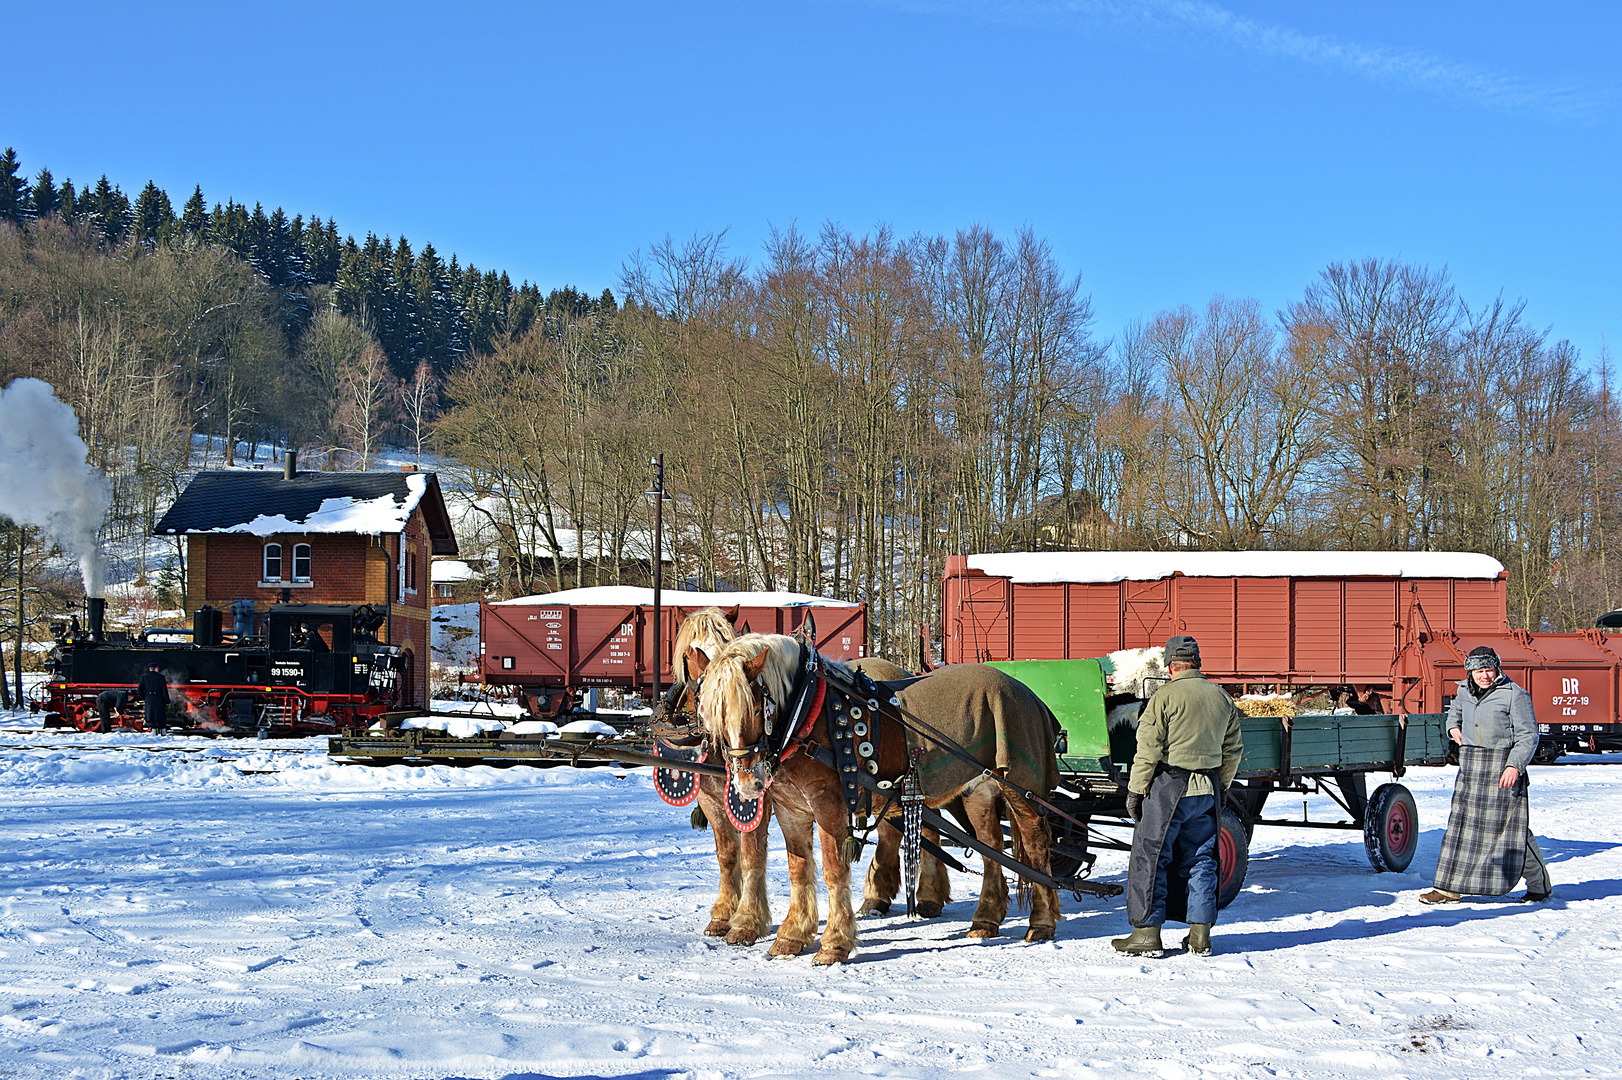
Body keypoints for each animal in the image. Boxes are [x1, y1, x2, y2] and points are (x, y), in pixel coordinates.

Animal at [697, 625, 1064, 960]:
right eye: (712, 714)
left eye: (758, 708)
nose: (748, 783)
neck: (807, 710)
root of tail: (1028, 693)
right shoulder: (792, 809)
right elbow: (798, 869)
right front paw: (792, 936)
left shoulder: (828, 805)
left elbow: (833, 870)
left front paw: (834, 943)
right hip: (978, 792)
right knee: (991, 849)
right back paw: (986, 920)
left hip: (1020, 786)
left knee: (1036, 845)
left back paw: (1042, 922)